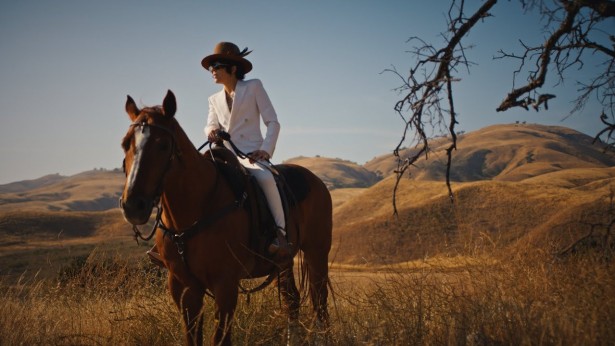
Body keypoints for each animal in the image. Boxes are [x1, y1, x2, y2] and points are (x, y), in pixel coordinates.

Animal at [119, 90, 332, 344]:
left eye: (163, 145)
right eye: (125, 144)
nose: (133, 205)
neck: (195, 211)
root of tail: (317, 181)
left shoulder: (225, 285)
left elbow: (221, 338)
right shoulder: (183, 287)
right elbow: (193, 337)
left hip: (316, 253)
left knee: (320, 303)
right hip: (284, 262)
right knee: (292, 300)